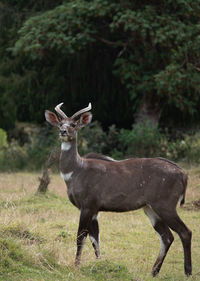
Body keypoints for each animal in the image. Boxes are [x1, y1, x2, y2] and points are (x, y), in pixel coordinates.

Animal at [44, 102, 191, 276]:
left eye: (73, 124)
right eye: (60, 123)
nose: (63, 132)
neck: (76, 171)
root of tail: (183, 175)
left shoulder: (87, 205)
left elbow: (81, 236)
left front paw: (76, 266)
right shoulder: (94, 209)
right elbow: (95, 238)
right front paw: (100, 264)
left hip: (165, 205)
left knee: (184, 232)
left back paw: (187, 272)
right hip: (150, 208)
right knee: (167, 236)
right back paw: (153, 272)